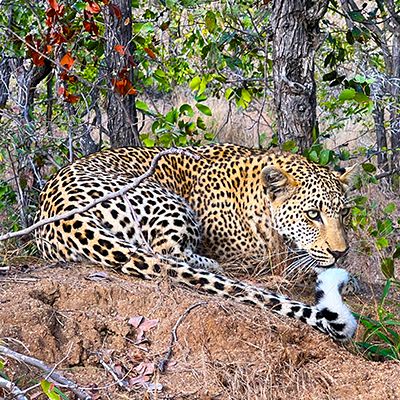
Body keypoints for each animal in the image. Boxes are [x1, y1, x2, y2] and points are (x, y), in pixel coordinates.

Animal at [36, 143, 358, 340]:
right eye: (313, 214)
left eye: (344, 213)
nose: (341, 252)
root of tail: (66, 214)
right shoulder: (251, 256)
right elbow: (299, 261)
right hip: (168, 202)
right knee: (166, 251)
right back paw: (212, 265)